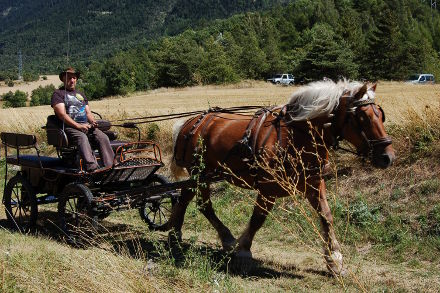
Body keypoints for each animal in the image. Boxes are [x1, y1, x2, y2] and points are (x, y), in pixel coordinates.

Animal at [165, 80, 396, 274]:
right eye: (362, 118)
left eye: (380, 115)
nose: (388, 157)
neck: (296, 135)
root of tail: (191, 121)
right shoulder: (268, 187)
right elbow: (258, 218)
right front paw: (243, 250)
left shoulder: (314, 184)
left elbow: (326, 216)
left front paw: (335, 259)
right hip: (200, 173)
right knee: (203, 205)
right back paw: (224, 239)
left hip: (198, 175)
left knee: (184, 200)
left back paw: (175, 235)